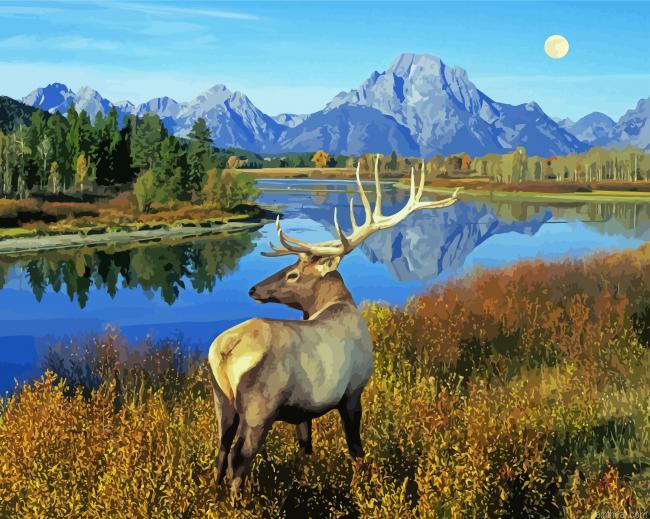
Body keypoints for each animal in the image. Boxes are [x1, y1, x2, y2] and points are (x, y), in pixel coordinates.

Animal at [207, 157, 460, 497]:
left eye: (293, 274)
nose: (254, 289)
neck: (340, 304)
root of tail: (224, 350)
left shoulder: (303, 409)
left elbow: (306, 445)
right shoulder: (353, 391)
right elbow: (356, 447)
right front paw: (364, 480)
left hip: (222, 400)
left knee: (221, 450)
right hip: (260, 405)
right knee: (240, 455)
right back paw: (238, 500)